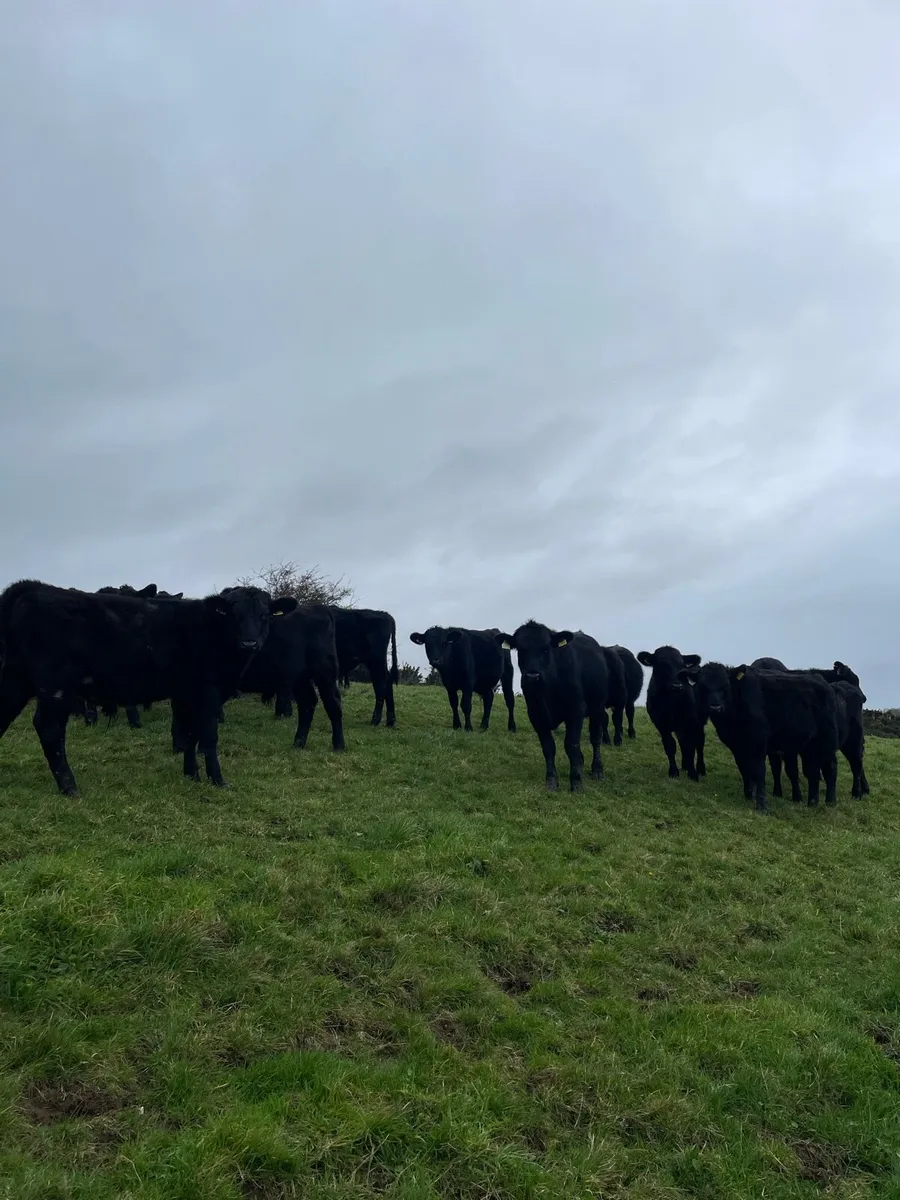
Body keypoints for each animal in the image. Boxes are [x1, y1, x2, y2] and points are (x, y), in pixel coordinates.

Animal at [0, 580, 295, 795]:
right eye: (233, 614)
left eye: (265, 615)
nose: (250, 643)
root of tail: (32, 587)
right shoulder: (207, 691)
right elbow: (209, 737)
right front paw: (218, 780)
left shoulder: (185, 693)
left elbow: (189, 735)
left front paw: (192, 775)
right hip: (55, 686)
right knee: (49, 728)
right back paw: (69, 787)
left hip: (16, 678)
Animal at [494, 621, 608, 792]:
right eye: (521, 649)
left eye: (546, 648)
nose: (532, 676)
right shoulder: (535, 714)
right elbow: (548, 747)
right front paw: (551, 781)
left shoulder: (576, 711)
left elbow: (571, 745)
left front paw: (576, 783)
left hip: (598, 708)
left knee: (595, 739)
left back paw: (597, 770)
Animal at [637, 646, 705, 780]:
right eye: (660, 665)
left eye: (682, 666)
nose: (677, 686)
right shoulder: (660, 724)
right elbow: (670, 745)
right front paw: (674, 772)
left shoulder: (690, 721)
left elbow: (691, 746)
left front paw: (693, 774)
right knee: (683, 742)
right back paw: (684, 766)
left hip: (699, 722)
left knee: (699, 742)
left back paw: (700, 769)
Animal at [691, 661, 840, 810]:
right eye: (702, 686)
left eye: (726, 685)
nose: (715, 707)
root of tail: (823, 681)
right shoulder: (736, 746)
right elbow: (744, 768)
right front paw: (748, 794)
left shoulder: (759, 741)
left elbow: (758, 771)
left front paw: (762, 805)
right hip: (809, 745)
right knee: (813, 770)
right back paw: (812, 803)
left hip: (827, 740)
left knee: (830, 768)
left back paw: (830, 801)